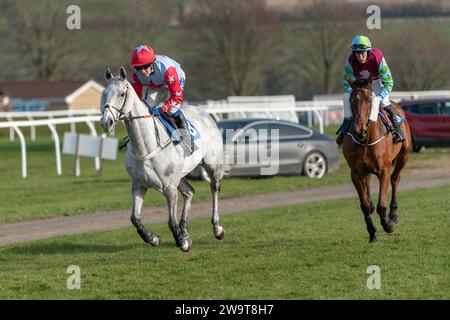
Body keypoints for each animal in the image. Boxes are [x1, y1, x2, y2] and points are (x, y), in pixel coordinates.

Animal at [98, 67, 225, 252]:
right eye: (104, 94)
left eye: (121, 94)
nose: (106, 122)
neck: (145, 146)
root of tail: (205, 113)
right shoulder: (139, 184)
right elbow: (135, 218)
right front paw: (153, 238)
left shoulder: (169, 188)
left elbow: (171, 221)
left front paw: (181, 241)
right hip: (180, 174)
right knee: (189, 192)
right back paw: (185, 231)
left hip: (211, 165)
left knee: (214, 189)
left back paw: (217, 228)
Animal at [344, 77, 412, 242]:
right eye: (351, 100)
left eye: (369, 100)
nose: (357, 128)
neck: (365, 140)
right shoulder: (355, 173)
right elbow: (364, 206)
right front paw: (372, 233)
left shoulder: (384, 171)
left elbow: (382, 205)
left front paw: (388, 224)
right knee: (368, 184)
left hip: (404, 156)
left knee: (395, 179)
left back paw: (393, 215)